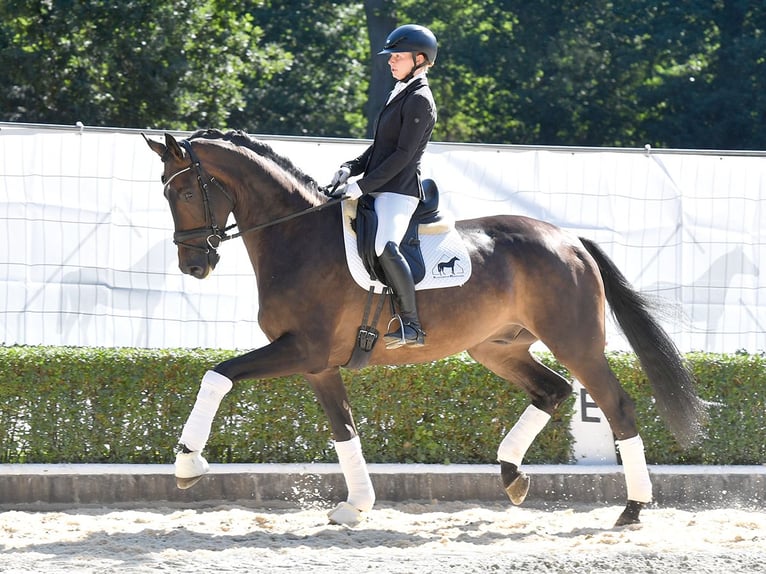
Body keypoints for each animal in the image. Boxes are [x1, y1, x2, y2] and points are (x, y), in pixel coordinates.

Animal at [144, 130, 708, 532]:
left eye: (188, 190)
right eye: (166, 194)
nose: (194, 265)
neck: (297, 235)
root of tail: (569, 239)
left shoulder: (300, 349)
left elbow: (217, 376)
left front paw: (188, 465)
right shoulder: (318, 364)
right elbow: (344, 429)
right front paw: (357, 506)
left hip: (576, 343)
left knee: (615, 405)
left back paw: (633, 508)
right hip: (496, 347)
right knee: (552, 390)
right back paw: (512, 477)